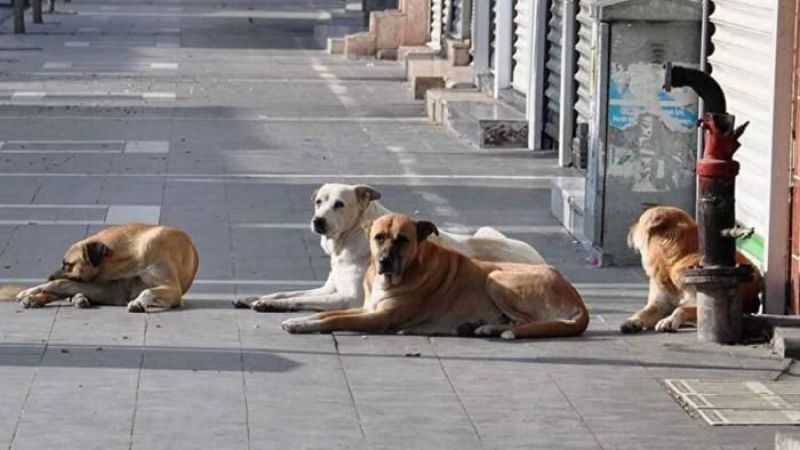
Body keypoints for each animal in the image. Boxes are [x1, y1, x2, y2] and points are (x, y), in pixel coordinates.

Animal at [231, 183, 544, 312]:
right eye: (319, 201)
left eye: (339, 204)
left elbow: (296, 299)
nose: (317, 221)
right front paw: (255, 297)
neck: (349, 239)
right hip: (486, 230)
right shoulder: (329, 287)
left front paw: (269, 305)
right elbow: (287, 291)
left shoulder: (348, 298)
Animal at [282, 214, 588, 338]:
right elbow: (326, 314)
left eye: (403, 240)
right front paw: (301, 320)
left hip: (496, 279)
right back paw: (481, 327)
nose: (384, 261)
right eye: (378, 237)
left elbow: (333, 320)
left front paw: (302, 325)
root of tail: (576, 297)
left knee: (529, 322)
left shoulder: (378, 317)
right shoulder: (366, 308)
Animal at [620, 206, 764, 332]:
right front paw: (632, 320)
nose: (629, 229)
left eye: (639, 222)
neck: (675, 261)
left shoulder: (702, 303)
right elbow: (643, 311)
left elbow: (681, 309)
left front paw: (669, 320)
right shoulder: (658, 304)